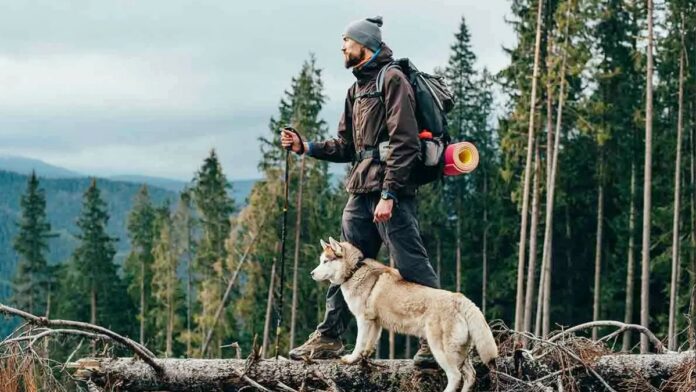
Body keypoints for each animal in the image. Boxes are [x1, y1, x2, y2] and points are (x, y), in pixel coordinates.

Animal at [312, 237, 500, 392]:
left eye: (325, 261)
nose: (311, 273)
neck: (354, 271)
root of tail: (459, 298)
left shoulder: (363, 320)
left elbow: (359, 344)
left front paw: (351, 359)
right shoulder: (375, 323)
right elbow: (369, 344)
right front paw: (364, 359)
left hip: (441, 351)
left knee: (455, 377)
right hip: (460, 353)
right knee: (470, 376)